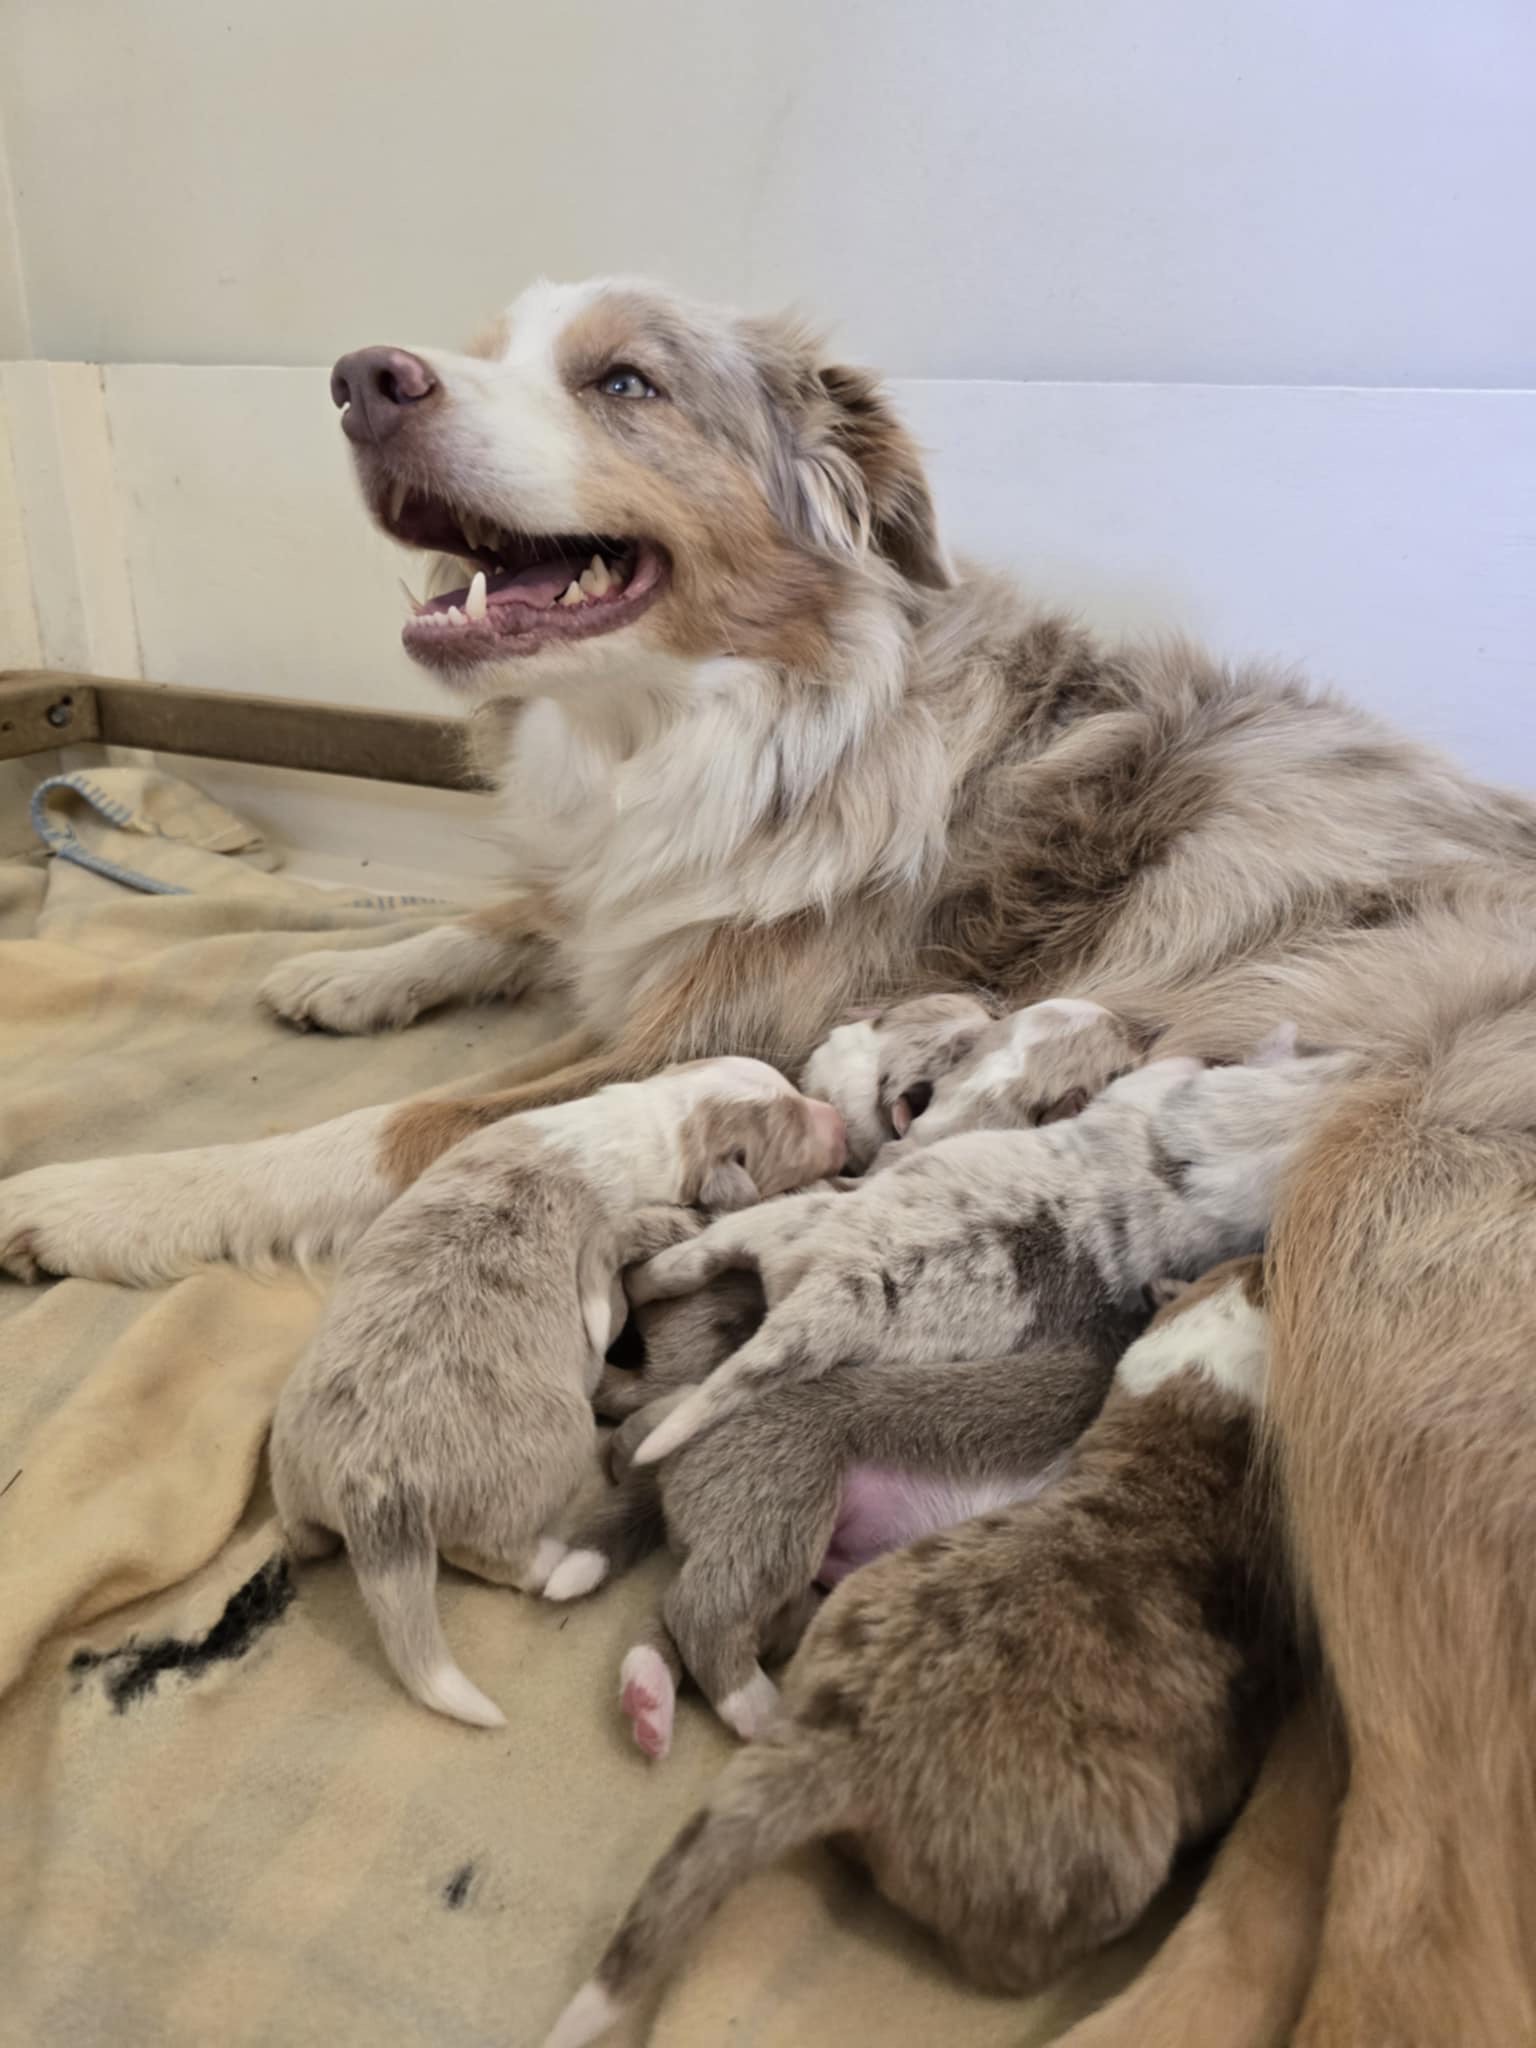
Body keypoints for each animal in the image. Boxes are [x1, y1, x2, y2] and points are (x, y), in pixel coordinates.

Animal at [268, 1057, 844, 1724]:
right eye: (793, 1133)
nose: (836, 1116)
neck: (655, 1121)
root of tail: (371, 1488)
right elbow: (612, 1302)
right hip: (553, 1448)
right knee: (487, 1551)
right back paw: (545, 1559)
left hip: (293, 1452)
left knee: (304, 1531)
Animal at [541, 1257, 1299, 2046]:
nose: (1263, 1261)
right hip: (781, 1505)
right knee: (702, 1611)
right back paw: (754, 1708)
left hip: (789, 1576)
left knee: (672, 1614)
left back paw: (649, 1699)